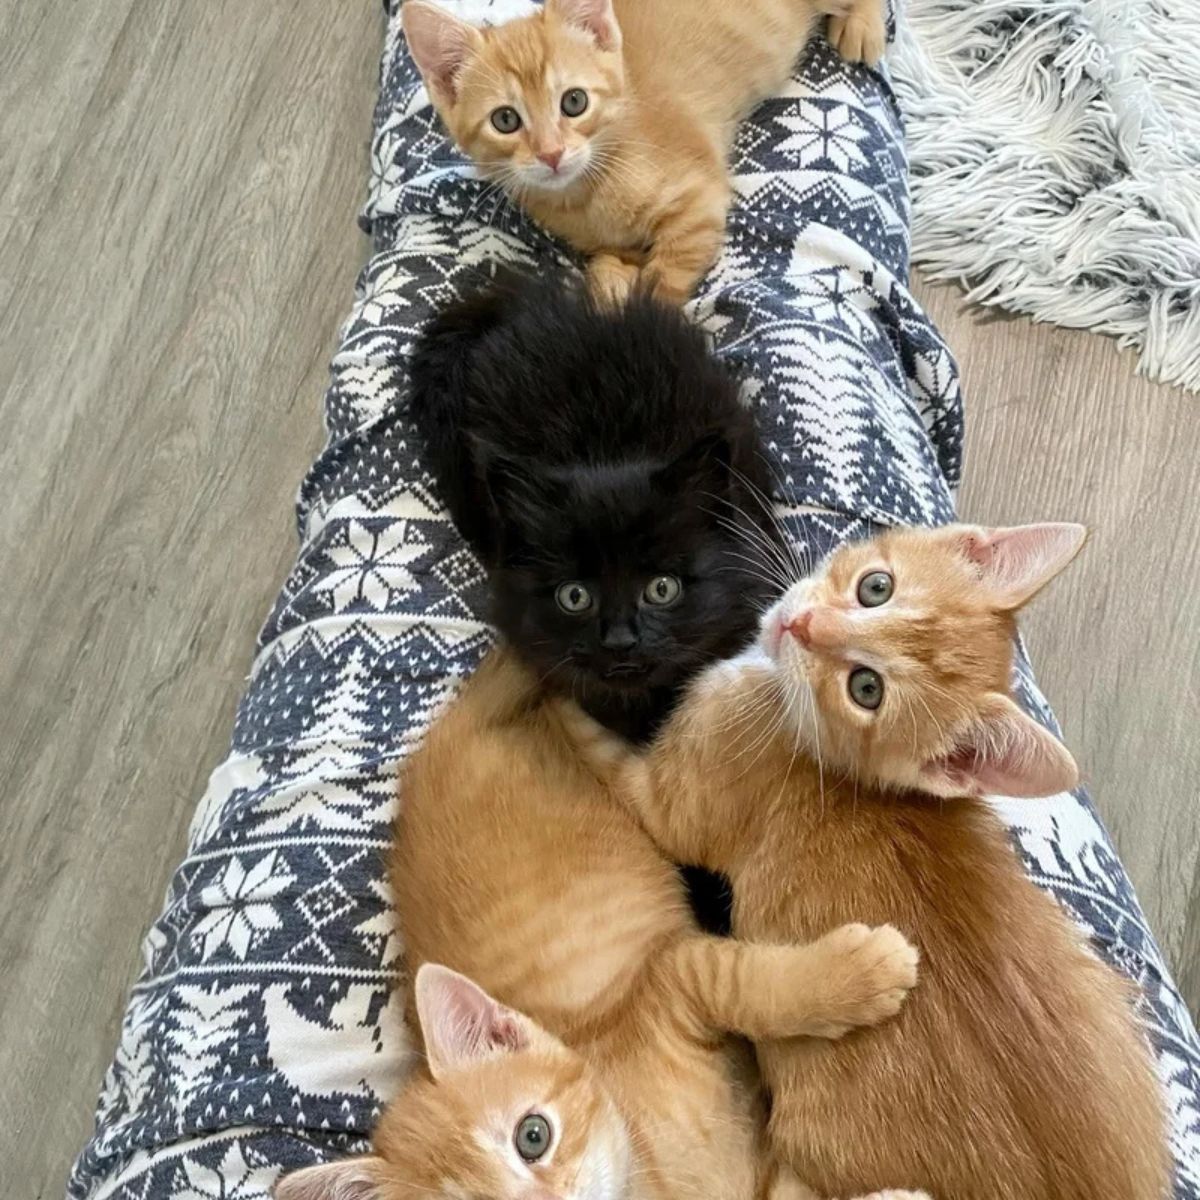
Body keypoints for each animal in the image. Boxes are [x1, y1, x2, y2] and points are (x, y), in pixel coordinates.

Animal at [276, 648, 921, 1200]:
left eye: (533, 1135)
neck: (654, 1178)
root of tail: (443, 739)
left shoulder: (670, 978)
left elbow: (750, 984)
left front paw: (858, 973)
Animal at [403, 0, 883, 304]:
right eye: (505, 120)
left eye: (574, 102)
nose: (552, 154)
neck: (586, 193)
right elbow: (609, 257)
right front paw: (612, 279)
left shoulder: (701, 198)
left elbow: (670, 269)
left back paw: (864, 25)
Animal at [564, 525, 1171, 1200]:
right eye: (876, 587)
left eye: (866, 688)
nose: (803, 624)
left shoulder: (672, 800)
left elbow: (609, 761)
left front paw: (547, 700)